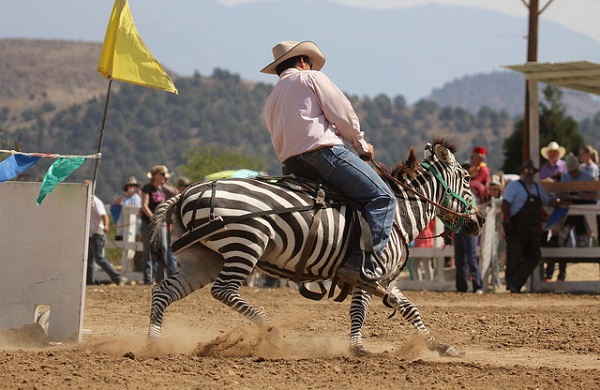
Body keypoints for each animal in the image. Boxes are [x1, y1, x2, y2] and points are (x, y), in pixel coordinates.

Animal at [148, 140, 486, 356]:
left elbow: (409, 309)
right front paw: (358, 349)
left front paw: (440, 346)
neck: (398, 214)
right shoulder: (367, 273)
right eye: (467, 178)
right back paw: (272, 331)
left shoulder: (386, 280)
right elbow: (359, 309)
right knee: (224, 291)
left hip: (205, 258)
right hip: (244, 245)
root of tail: (186, 193)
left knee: (164, 290)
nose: (479, 221)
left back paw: (153, 343)